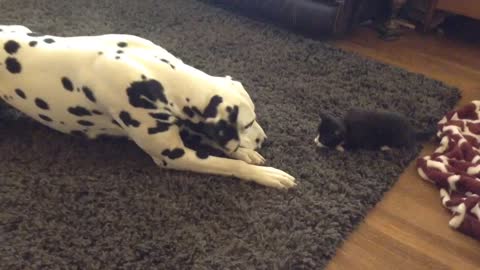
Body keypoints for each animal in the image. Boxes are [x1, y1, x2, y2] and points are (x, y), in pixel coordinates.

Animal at [0, 25, 296, 188]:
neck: (150, 73)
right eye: (247, 124)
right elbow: (228, 164)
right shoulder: (175, 156)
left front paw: (246, 153)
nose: (264, 139)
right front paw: (265, 173)